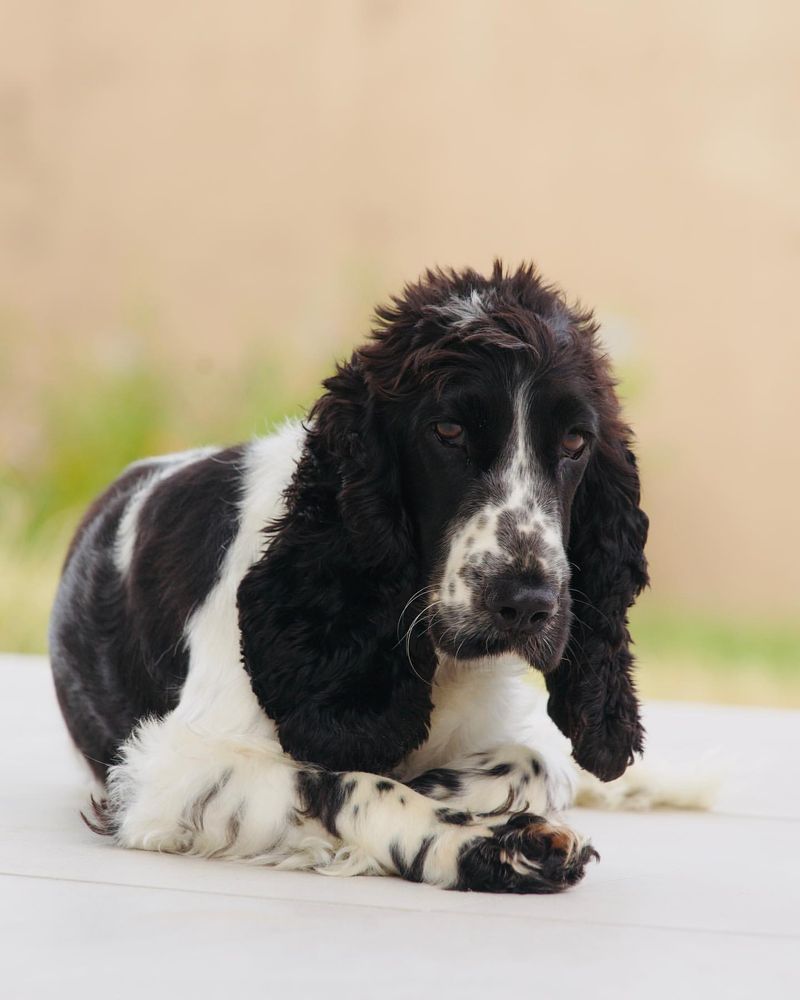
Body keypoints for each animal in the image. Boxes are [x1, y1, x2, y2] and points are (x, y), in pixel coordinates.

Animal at [48, 262, 648, 896]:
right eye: (448, 430)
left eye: (575, 442)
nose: (527, 604)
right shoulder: (164, 770)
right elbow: (342, 781)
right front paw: (493, 844)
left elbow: (535, 761)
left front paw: (456, 790)